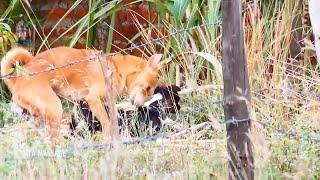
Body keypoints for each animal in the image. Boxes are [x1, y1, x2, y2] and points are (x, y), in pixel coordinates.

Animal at [1, 46, 162, 145]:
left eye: (151, 91)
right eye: (147, 88)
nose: (143, 105)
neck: (115, 69)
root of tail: (15, 78)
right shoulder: (93, 100)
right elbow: (107, 122)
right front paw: (108, 139)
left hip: (37, 118)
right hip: (55, 109)